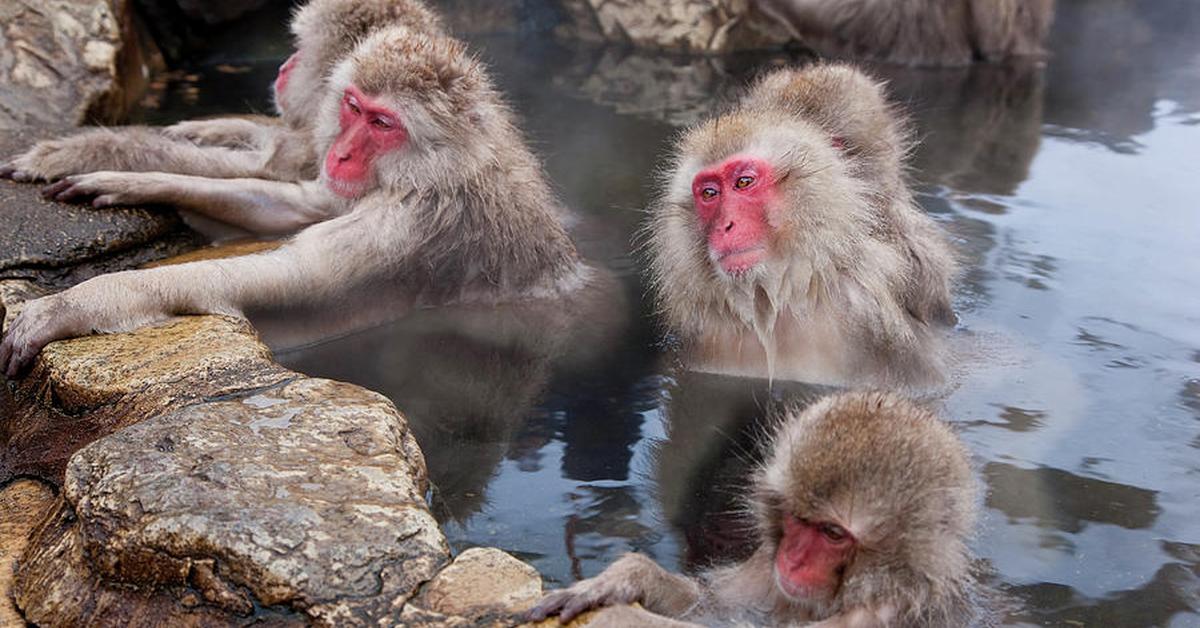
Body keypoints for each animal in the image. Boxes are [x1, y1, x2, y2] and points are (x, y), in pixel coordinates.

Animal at [535, 393, 984, 628]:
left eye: (833, 533)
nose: (792, 559)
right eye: (795, 517)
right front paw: (627, 578)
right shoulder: (764, 569)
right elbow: (715, 605)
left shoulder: (878, 614)